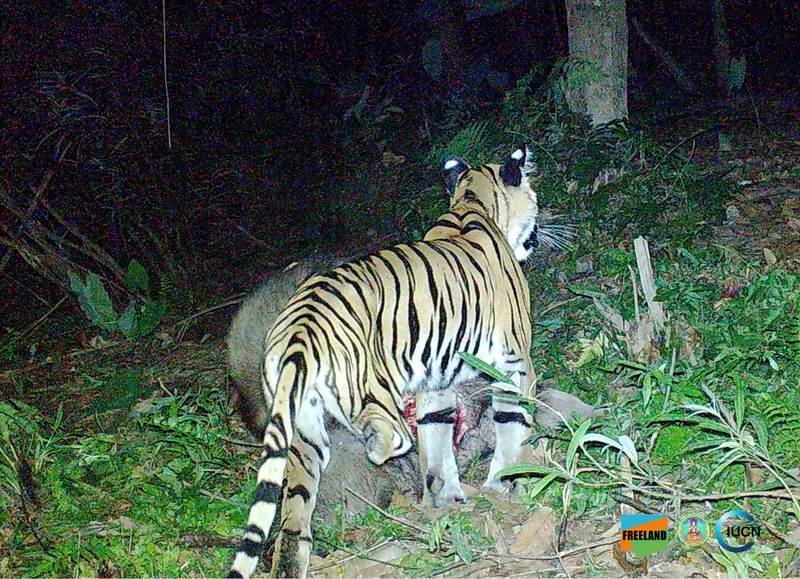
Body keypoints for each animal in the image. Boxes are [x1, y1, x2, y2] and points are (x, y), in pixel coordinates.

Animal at [230, 146, 540, 578]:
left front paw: (445, 495)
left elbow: (437, 445)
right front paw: (504, 482)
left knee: (293, 526)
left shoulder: (436, 385)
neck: (471, 201)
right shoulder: (515, 363)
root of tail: (300, 330)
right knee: (387, 436)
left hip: (301, 440)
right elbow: (510, 426)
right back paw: (379, 448)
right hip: (369, 395)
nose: (536, 236)